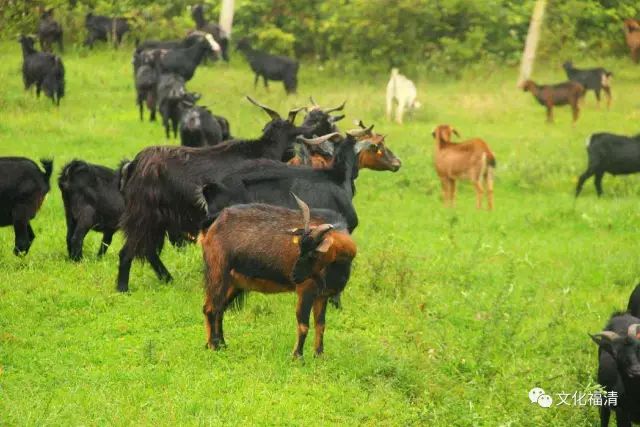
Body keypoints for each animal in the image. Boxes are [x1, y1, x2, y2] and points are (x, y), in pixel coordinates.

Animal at [117, 97, 312, 292]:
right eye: (294, 135)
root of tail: (134, 164)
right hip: (144, 216)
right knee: (129, 251)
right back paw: (123, 288)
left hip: (156, 220)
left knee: (148, 251)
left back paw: (167, 279)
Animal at [201, 195, 356, 358]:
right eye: (300, 249)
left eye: (313, 254)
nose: (294, 276)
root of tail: (215, 222)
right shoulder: (305, 290)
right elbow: (303, 325)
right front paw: (297, 357)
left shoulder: (322, 295)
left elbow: (321, 325)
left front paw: (319, 355)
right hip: (217, 272)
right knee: (210, 308)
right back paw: (213, 346)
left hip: (235, 283)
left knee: (220, 309)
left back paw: (222, 345)